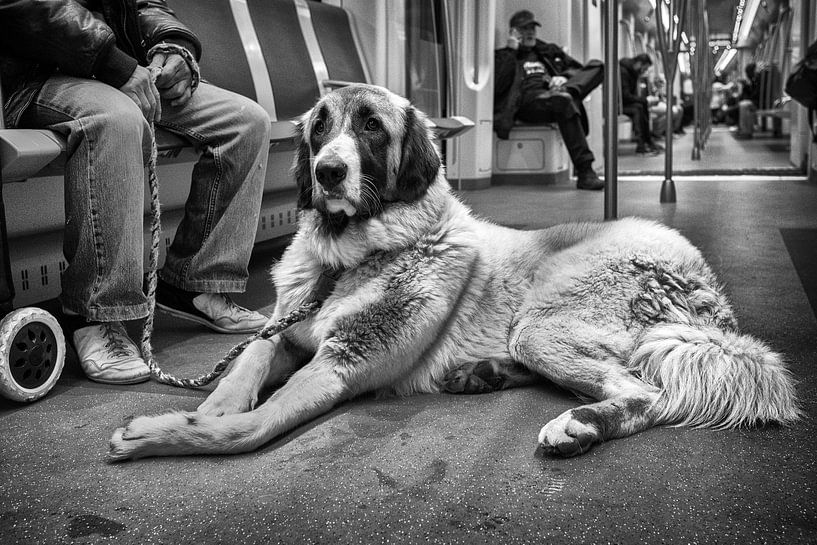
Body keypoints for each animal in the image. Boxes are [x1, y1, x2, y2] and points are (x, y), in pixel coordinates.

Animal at [108, 84, 796, 460]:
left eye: (371, 129)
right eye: (320, 128)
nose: (328, 171)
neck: (348, 257)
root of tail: (702, 280)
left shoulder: (340, 364)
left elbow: (248, 426)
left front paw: (153, 434)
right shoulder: (279, 333)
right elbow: (233, 385)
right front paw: (196, 413)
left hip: (541, 321)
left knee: (643, 393)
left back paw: (576, 425)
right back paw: (480, 374)